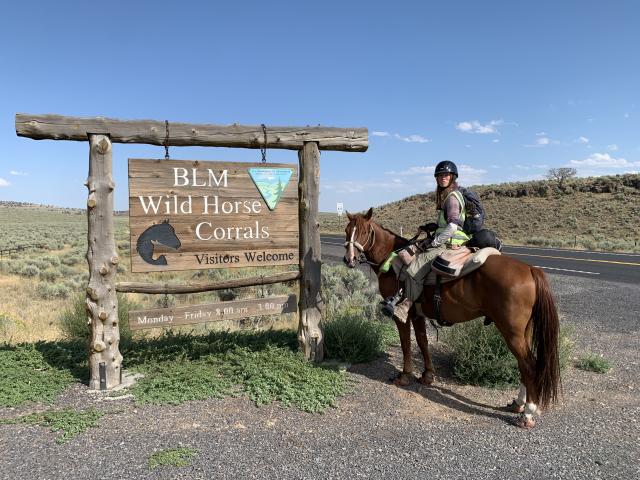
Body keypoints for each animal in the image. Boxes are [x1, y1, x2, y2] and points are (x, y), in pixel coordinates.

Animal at [344, 208, 560, 430]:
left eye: (364, 231)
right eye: (347, 230)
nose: (349, 259)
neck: (392, 261)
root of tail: (530, 269)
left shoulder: (402, 316)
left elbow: (406, 344)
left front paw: (405, 376)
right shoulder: (418, 315)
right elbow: (422, 342)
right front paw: (427, 375)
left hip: (511, 332)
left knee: (529, 365)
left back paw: (528, 413)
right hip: (523, 332)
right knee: (523, 366)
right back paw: (518, 404)